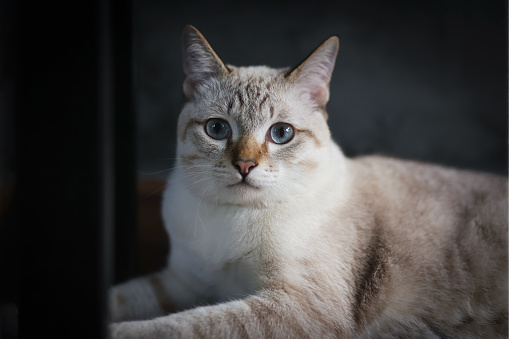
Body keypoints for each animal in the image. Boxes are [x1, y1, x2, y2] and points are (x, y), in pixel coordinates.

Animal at [109, 25, 506, 338]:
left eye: (281, 133)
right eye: (218, 129)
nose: (245, 165)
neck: (233, 218)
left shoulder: (299, 306)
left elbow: (181, 326)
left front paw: (119, 331)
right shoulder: (183, 281)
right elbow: (124, 296)